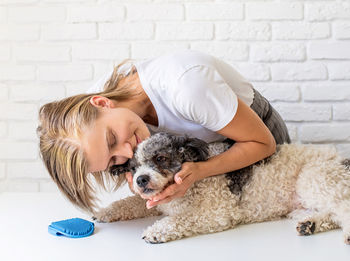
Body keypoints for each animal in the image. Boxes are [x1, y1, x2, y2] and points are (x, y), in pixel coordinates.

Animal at [93, 132, 350, 244]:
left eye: (160, 158)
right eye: (133, 168)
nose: (141, 180)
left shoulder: (217, 213)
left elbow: (181, 219)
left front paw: (157, 231)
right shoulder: (159, 202)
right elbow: (131, 202)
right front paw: (106, 211)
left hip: (315, 179)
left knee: (343, 208)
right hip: (304, 204)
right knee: (332, 214)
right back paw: (310, 225)